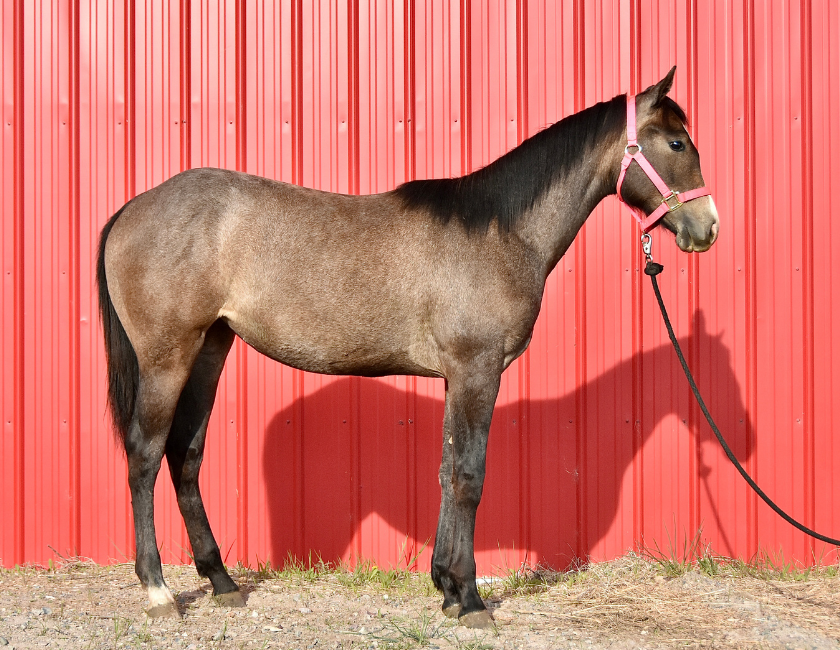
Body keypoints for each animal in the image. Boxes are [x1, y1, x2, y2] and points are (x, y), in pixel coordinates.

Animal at [97, 67, 719, 628]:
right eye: (676, 142)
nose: (707, 227)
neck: (497, 232)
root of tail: (133, 208)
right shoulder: (477, 370)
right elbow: (469, 476)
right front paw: (471, 600)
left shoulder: (456, 378)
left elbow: (446, 470)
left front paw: (446, 588)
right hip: (167, 357)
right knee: (145, 455)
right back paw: (157, 591)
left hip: (210, 349)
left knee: (186, 455)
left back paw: (222, 582)